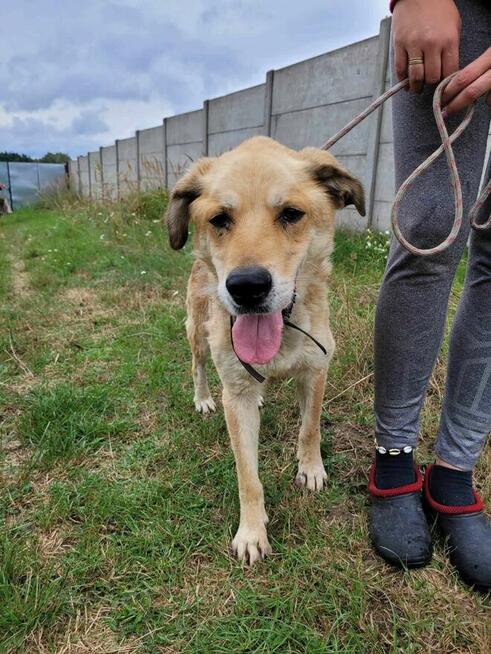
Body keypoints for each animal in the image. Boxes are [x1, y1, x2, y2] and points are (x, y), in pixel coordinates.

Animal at [165, 137, 366, 564]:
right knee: (197, 367)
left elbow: (310, 428)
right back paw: (203, 398)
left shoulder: (316, 371)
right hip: (197, 336)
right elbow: (248, 476)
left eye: (291, 214)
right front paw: (252, 532)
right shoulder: (236, 395)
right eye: (219, 219)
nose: (246, 287)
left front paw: (311, 470)